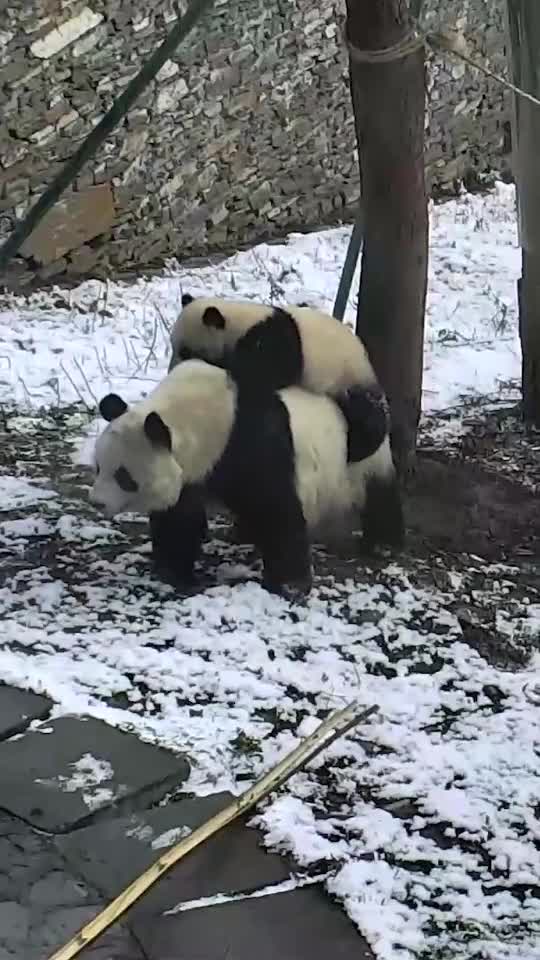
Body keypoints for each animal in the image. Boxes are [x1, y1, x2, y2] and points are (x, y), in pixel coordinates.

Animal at [89, 360, 404, 597]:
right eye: (98, 467)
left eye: (124, 476)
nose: (97, 503)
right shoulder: (192, 472)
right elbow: (178, 518)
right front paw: (172, 571)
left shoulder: (254, 445)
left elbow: (278, 511)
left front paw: (289, 584)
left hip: (360, 463)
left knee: (379, 494)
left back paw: (384, 544)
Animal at [170, 294, 389, 464]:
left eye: (185, 351)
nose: (172, 369)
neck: (238, 322)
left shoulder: (271, 342)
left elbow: (265, 372)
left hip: (348, 376)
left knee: (368, 416)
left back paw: (357, 449)